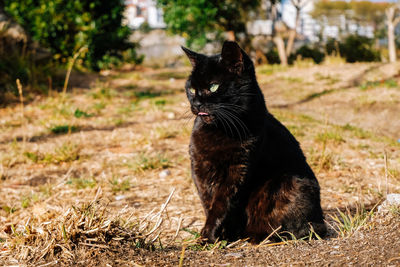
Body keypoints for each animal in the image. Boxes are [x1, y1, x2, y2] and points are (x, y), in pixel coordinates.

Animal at [183, 40, 326, 244]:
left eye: (213, 87)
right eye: (192, 89)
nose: (196, 104)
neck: (220, 130)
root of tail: (320, 217)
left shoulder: (238, 169)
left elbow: (221, 205)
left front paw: (209, 236)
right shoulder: (199, 166)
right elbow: (207, 203)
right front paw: (218, 236)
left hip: (291, 183)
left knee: (303, 229)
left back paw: (260, 235)